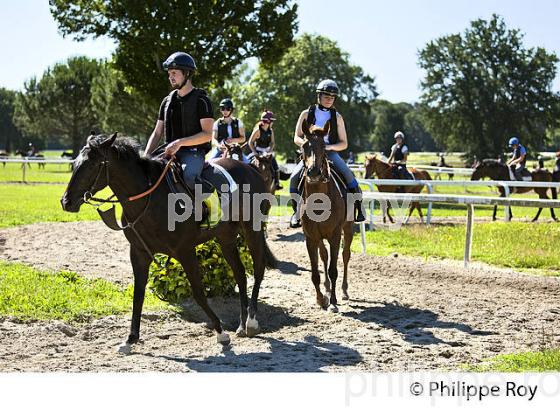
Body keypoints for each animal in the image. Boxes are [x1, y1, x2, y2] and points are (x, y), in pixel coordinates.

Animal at [60, 135, 276, 352]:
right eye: (75, 164)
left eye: (93, 165)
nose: (66, 202)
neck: (150, 200)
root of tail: (252, 170)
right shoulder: (138, 253)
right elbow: (138, 294)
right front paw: (130, 339)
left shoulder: (185, 251)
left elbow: (198, 293)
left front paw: (221, 333)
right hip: (226, 237)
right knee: (240, 274)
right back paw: (241, 324)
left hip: (252, 230)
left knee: (258, 269)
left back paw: (251, 321)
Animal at [300, 120, 352, 312]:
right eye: (304, 146)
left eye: (324, 146)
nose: (314, 172)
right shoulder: (310, 237)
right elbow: (316, 272)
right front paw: (321, 299)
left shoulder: (335, 235)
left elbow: (333, 269)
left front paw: (334, 301)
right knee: (324, 256)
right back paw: (327, 289)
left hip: (349, 228)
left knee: (345, 255)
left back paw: (343, 291)